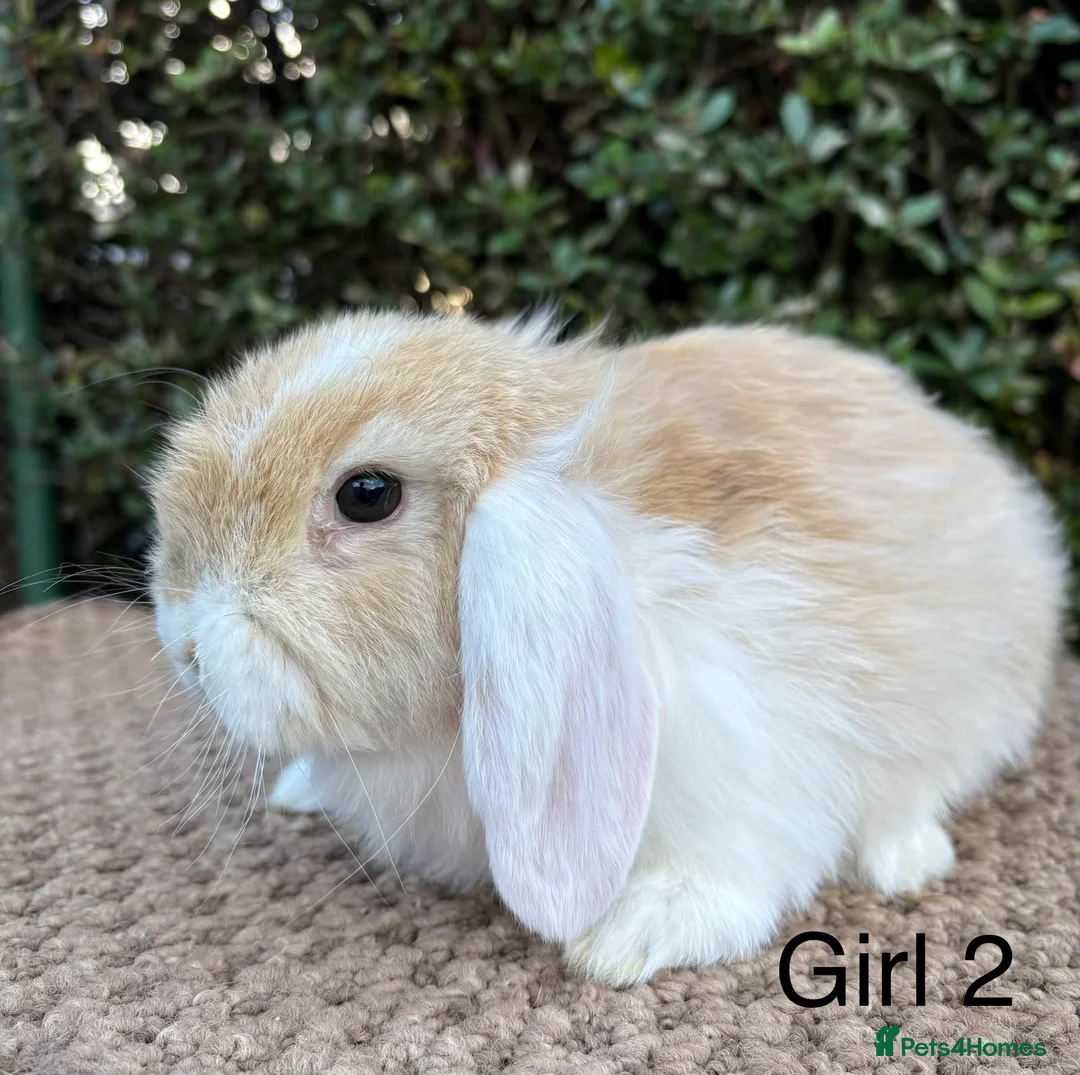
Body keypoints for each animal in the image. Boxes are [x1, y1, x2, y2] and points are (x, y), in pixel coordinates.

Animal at [149, 308, 1066, 987]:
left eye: (367, 494)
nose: (186, 642)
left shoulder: (748, 755)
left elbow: (734, 859)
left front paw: (636, 933)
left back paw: (906, 855)